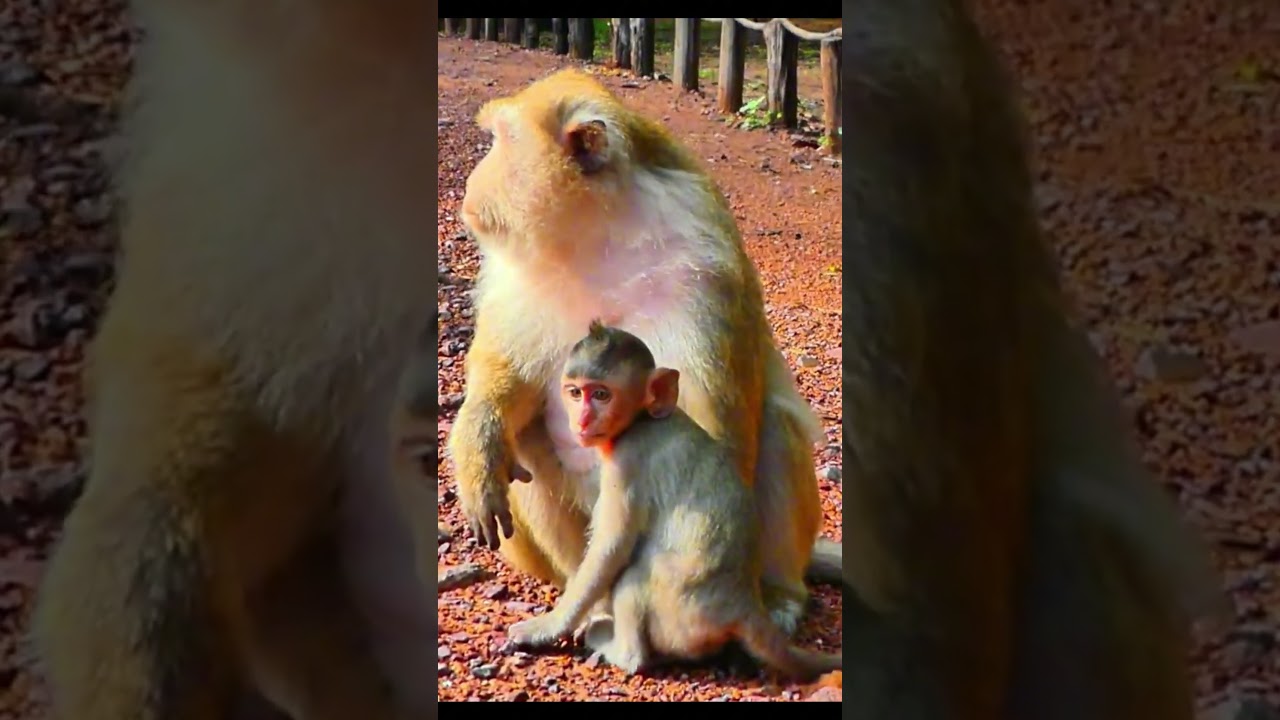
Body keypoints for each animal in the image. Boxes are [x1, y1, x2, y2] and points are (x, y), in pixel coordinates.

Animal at [444, 67, 841, 642]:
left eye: (502, 139)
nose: (474, 181)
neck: (596, 237)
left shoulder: (703, 271)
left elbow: (712, 431)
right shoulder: (510, 273)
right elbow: (506, 375)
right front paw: (479, 442)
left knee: (773, 423)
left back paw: (778, 597)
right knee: (528, 441)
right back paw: (592, 603)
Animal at [505, 321, 843, 681]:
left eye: (601, 394)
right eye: (574, 392)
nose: (581, 420)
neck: (641, 420)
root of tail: (743, 605)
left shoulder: (627, 463)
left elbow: (610, 550)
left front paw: (546, 627)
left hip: (682, 611)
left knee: (634, 579)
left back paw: (620, 650)